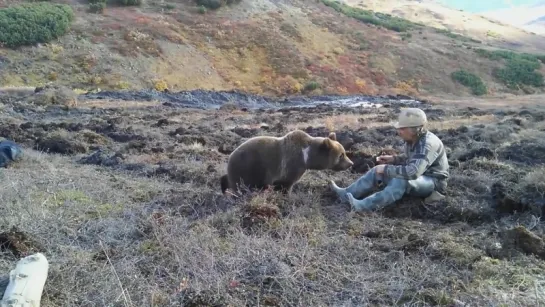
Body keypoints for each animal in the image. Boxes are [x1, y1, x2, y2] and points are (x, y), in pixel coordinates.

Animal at [220, 130, 352, 195]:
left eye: (344, 152)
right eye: (341, 155)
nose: (351, 163)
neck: (306, 157)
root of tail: (230, 156)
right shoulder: (291, 165)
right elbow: (286, 184)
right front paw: (287, 195)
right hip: (247, 168)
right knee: (240, 185)